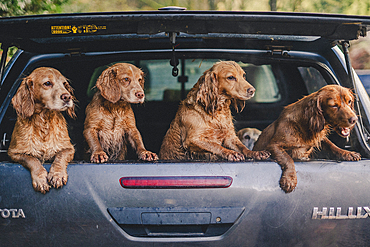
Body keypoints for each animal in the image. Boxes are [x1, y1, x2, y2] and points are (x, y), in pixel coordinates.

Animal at [7, 66, 75, 194]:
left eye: (64, 84)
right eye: (47, 83)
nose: (67, 97)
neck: (44, 121)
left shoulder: (69, 149)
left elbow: (60, 156)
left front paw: (57, 175)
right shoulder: (14, 153)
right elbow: (32, 159)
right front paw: (41, 179)